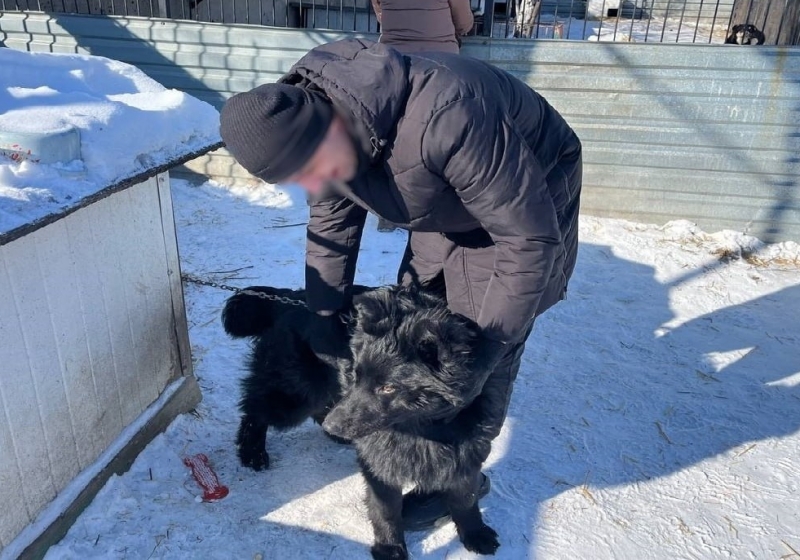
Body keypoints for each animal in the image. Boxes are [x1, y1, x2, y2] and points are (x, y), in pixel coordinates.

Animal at [223, 285, 500, 559]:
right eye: (357, 375)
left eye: (388, 387)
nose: (333, 425)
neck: (425, 425)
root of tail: (289, 298)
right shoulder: (380, 462)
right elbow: (386, 510)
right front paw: (389, 548)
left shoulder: (467, 453)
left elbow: (466, 497)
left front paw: (475, 532)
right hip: (294, 395)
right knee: (255, 410)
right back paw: (253, 452)